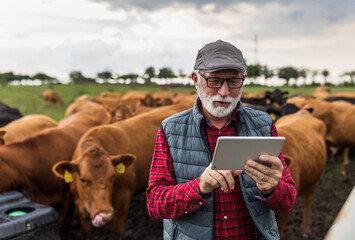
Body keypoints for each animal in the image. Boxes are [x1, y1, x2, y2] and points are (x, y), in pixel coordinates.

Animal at [52, 103, 192, 240]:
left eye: (113, 176)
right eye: (82, 179)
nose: (105, 214)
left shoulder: (123, 196)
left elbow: (116, 230)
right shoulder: (80, 204)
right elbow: (85, 231)